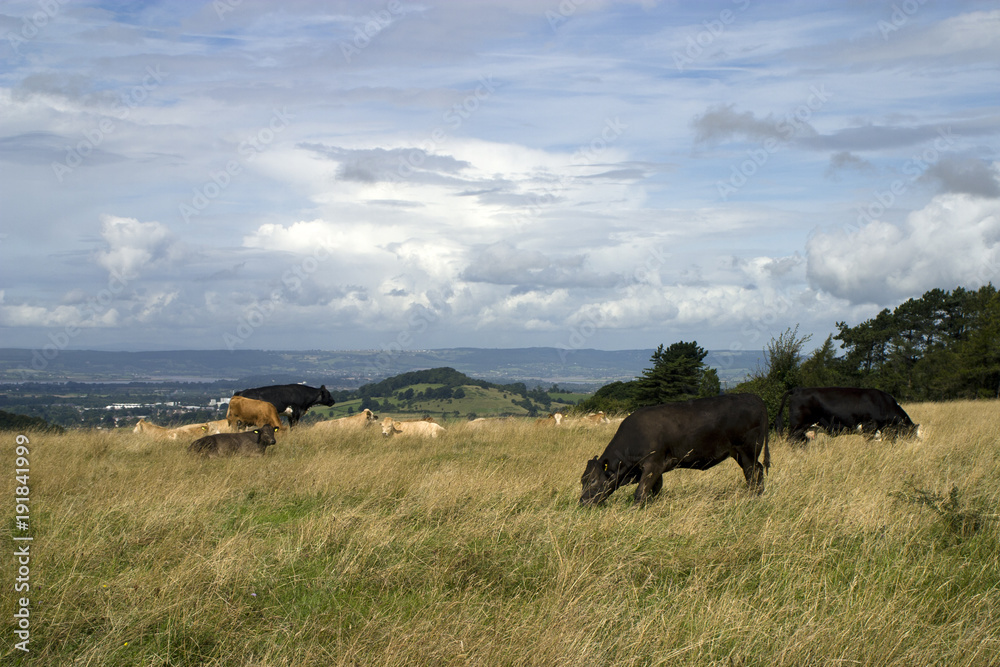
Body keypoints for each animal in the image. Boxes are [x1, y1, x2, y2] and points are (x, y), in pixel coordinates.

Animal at [579, 393, 770, 507]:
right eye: (583, 480)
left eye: (593, 481)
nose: (583, 502)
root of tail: (754, 397)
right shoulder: (656, 469)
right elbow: (654, 491)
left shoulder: (653, 464)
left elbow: (640, 492)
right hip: (740, 453)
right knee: (758, 470)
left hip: (747, 451)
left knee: (753, 473)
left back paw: (752, 497)